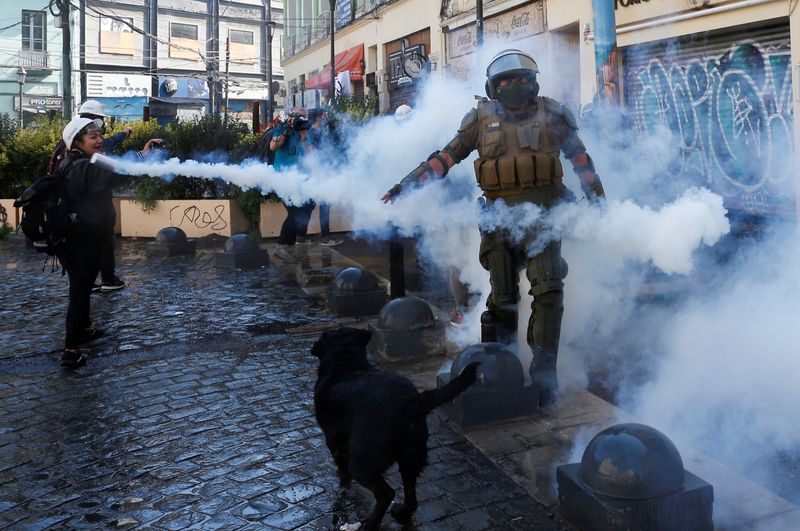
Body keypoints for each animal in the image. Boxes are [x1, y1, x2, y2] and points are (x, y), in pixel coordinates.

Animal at [310, 326, 476, 528]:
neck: (346, 363)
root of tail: (411, 402)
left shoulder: (332, 439)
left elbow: (340, 463)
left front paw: (342, 478)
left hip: (363, 463)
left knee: (386, 493)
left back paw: (371, 522)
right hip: (410, 458)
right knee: (411, 497)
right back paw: (401, 511)